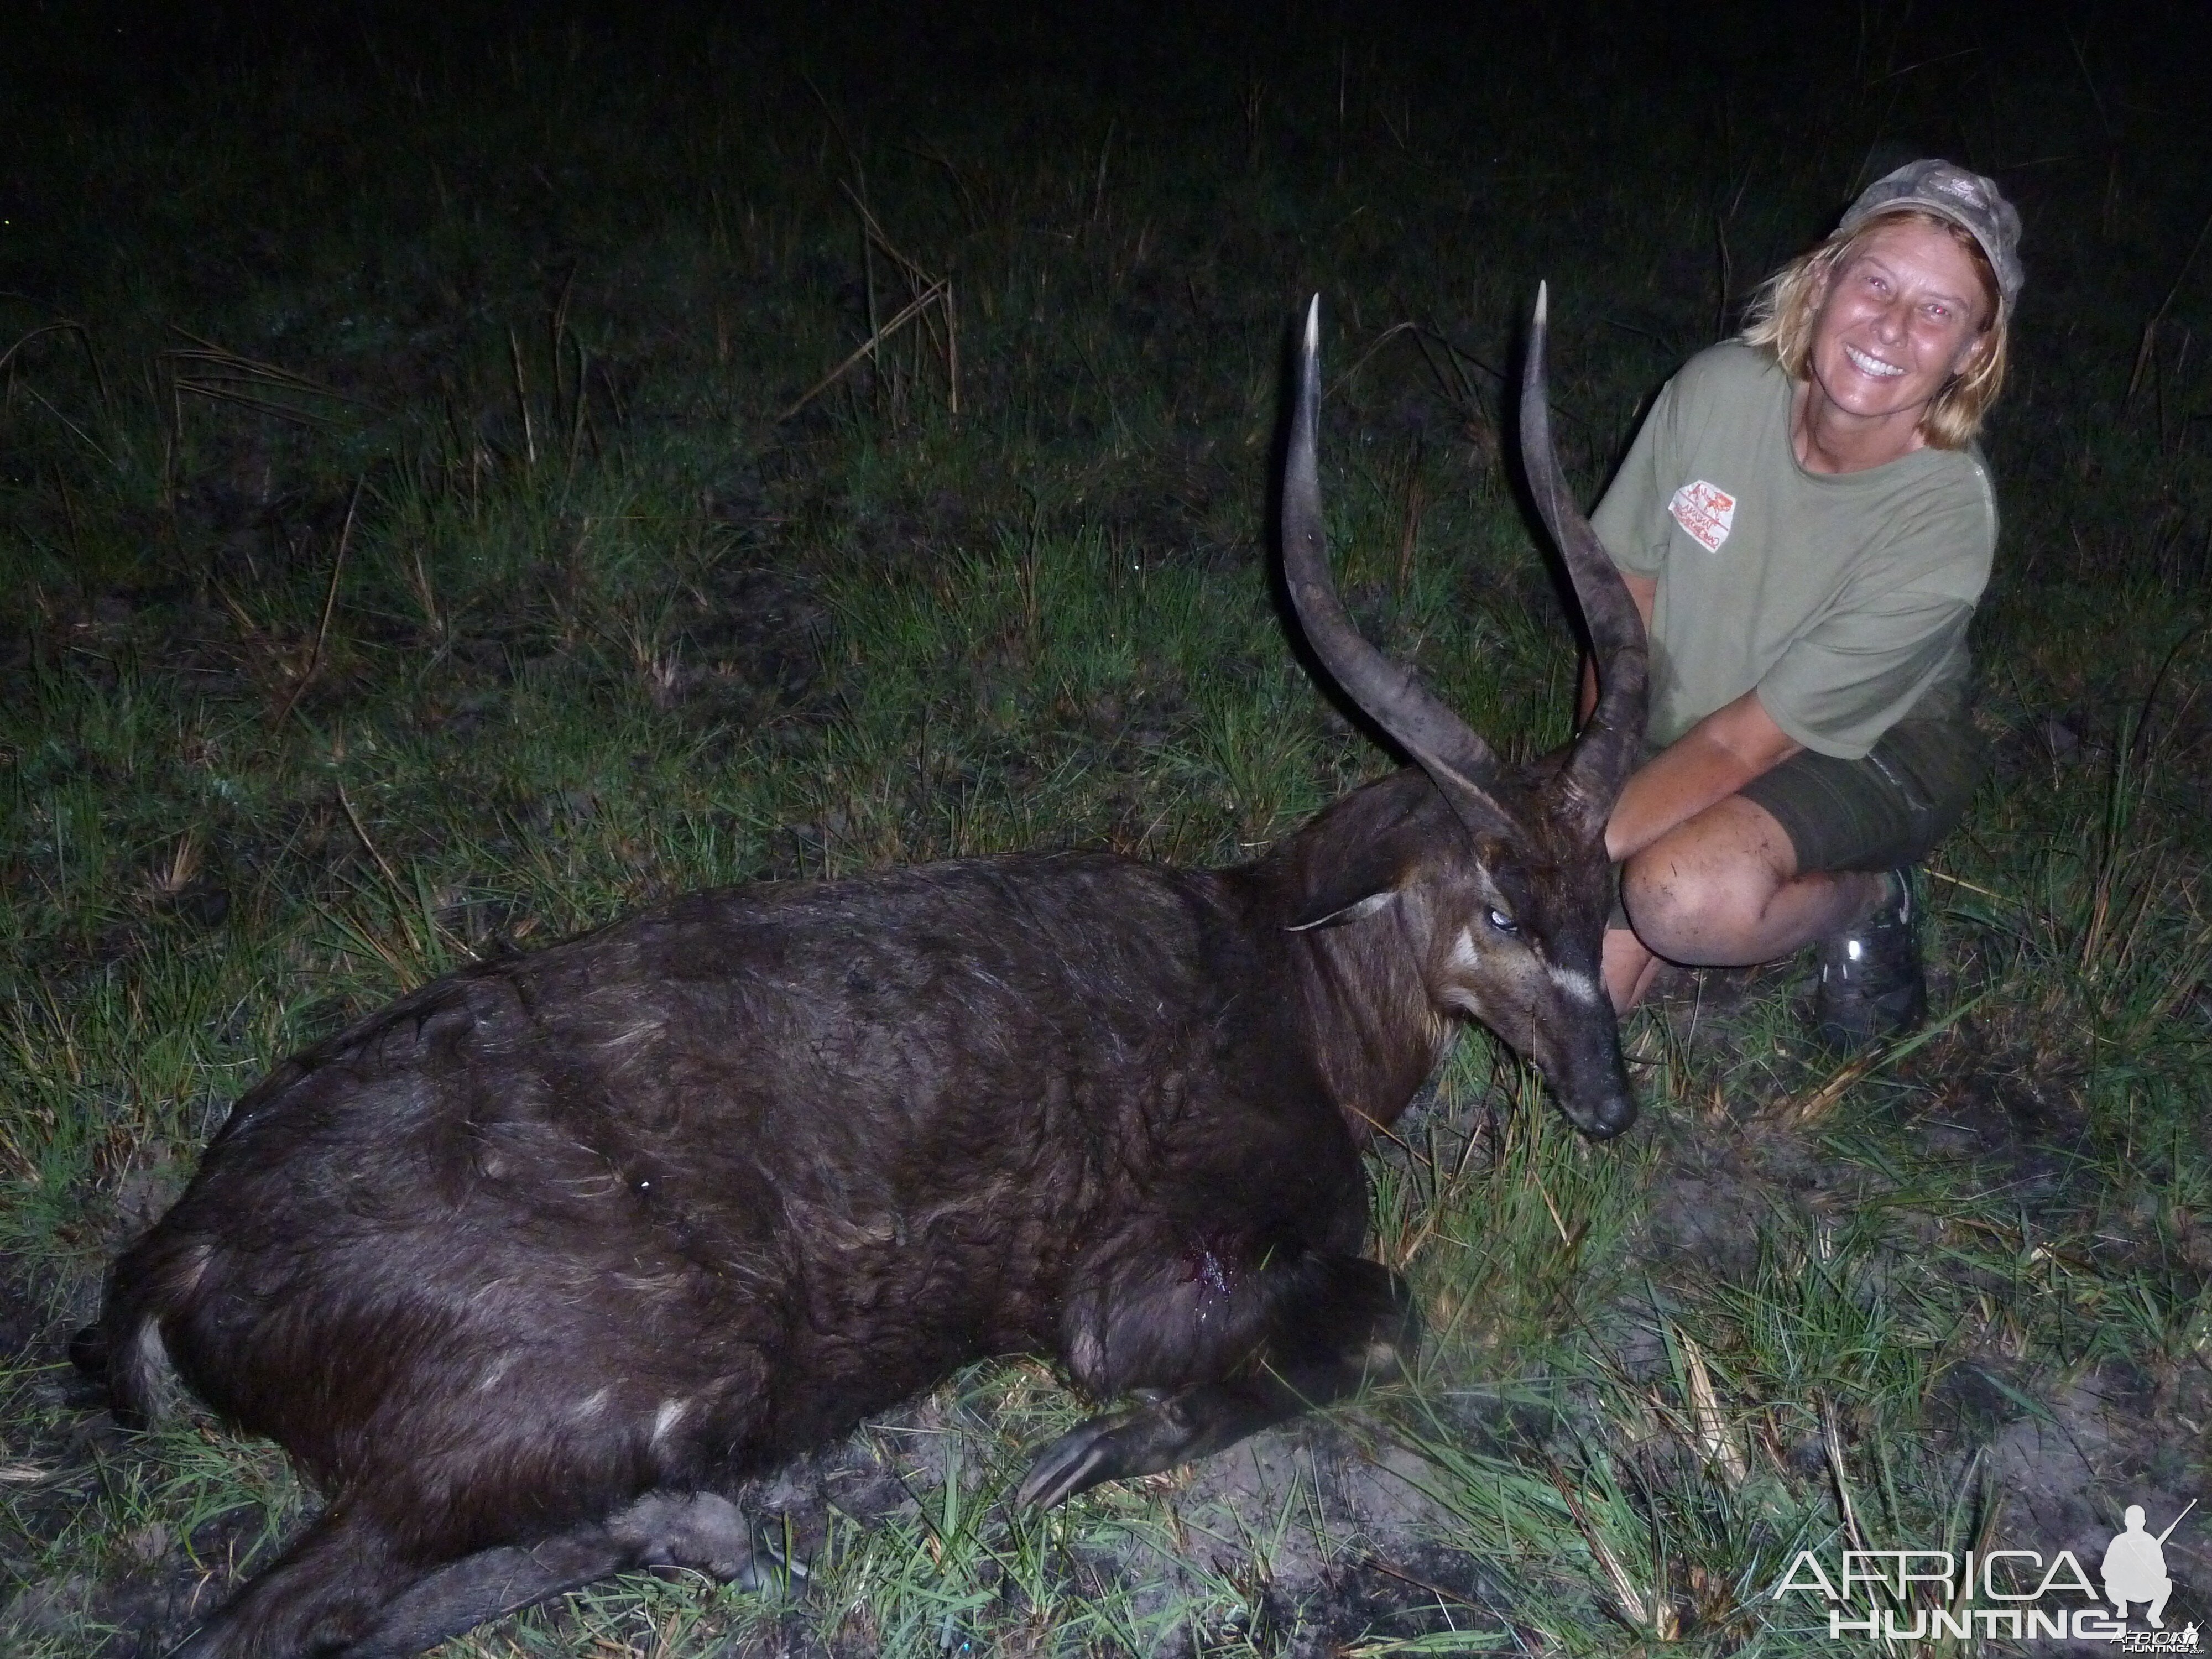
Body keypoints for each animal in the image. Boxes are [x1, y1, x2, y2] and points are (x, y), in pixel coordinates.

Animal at [78, 292, 1646, 1655]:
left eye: (1607, 889)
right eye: (1498, 909)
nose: (1609, 1105)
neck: (1287, 984)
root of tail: (183, 1252)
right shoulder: (1133, 1282)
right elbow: (1376, 1312)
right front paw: (1088, 1453)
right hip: (621, 1382)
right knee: (259, 1620)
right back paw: (707, 1525)